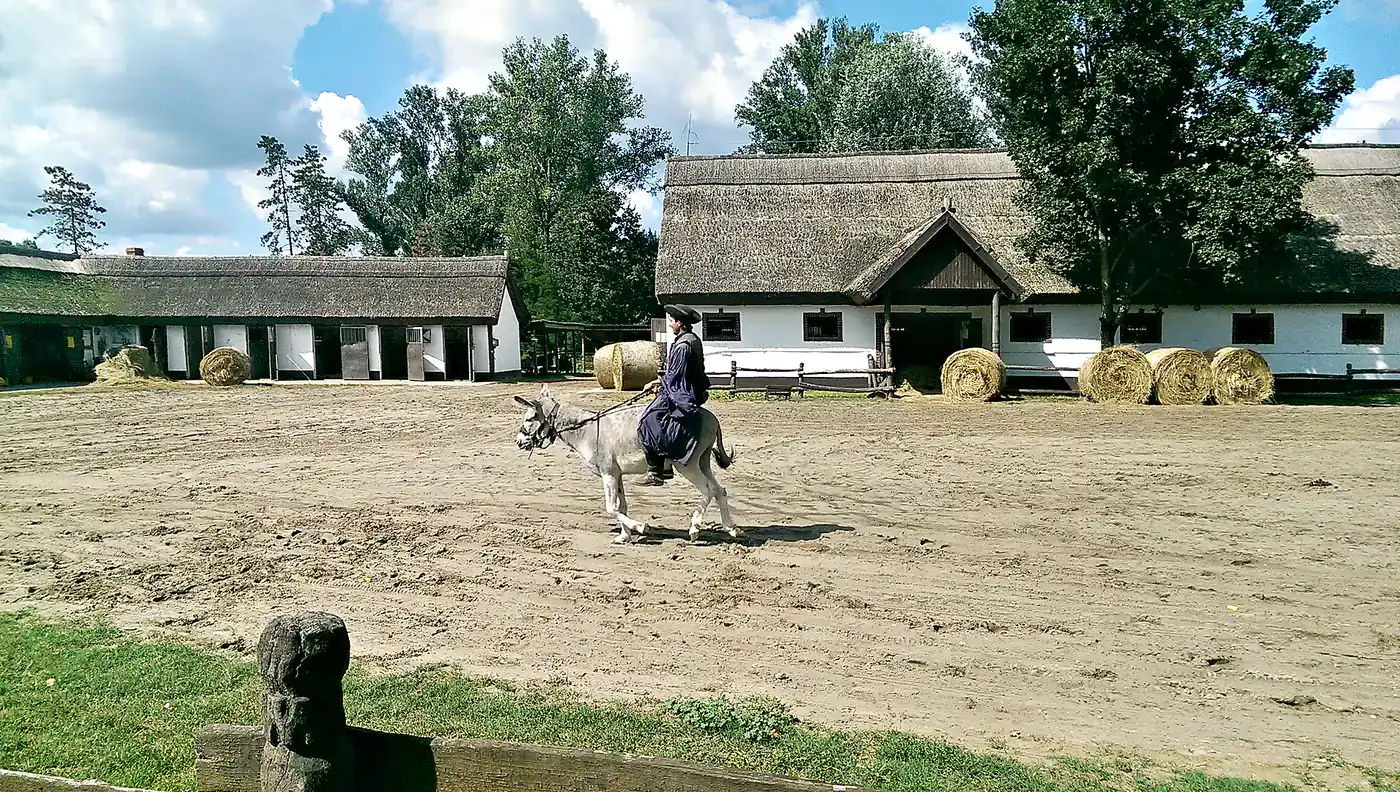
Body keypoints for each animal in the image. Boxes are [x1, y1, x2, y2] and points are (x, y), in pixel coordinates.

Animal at [513, 384, 739, 545]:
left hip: (687, 465)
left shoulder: (608, 473)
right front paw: (624, 536)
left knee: (708, 489)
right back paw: (730, 528)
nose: (519, 441)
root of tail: (712, 418)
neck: (586, 430)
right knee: (719, 490)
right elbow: (622, 505)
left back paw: (695, 528)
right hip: (703, 462)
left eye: (530, 418)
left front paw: (640, 527)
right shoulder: (617, 475)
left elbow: (611, 507)